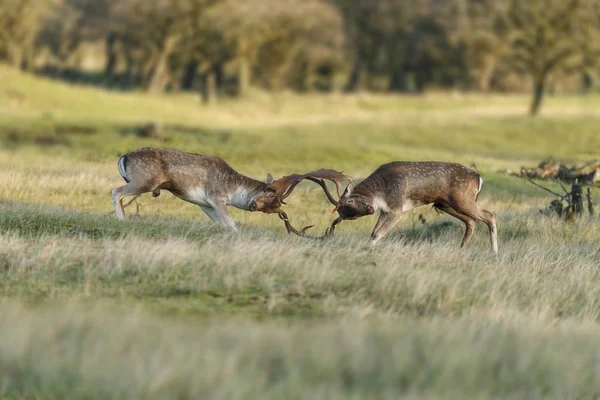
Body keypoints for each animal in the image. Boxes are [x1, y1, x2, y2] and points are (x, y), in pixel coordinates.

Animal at [110, 147, 350, 231]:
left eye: (272, 209)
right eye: (271, 193)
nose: (252, 204)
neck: (233, 190)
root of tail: (123, 157)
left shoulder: (204, 204)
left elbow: (222, 224)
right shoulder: (216, 197)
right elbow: (232, 224)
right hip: (145, 180)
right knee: (115, 191)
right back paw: (122, 220)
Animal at [304, 162, 496, 253]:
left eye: (349, 202)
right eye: (347, 215)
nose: (371, 209)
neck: (381, 193)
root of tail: (479, 178)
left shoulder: (397, 209)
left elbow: (377, 234)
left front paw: (367, 249)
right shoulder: (385, 210)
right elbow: (373, 232)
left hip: (462, 199)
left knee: (489, 215)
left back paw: (494, 254)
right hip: (444, 204)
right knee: (471, 221)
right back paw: (462, 248)